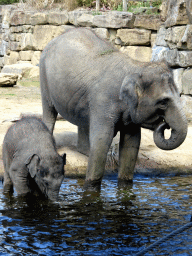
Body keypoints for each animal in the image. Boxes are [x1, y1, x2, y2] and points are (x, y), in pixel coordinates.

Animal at [39, 29, 188, 191]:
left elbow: (131, 143)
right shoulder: (103, 102)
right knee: (49, 111)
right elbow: (101, 141)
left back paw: (85, 152)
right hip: (44, 76)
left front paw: (124, 185)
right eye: (163, 102)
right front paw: (91, 188)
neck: (136, 67)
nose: (165, 124)